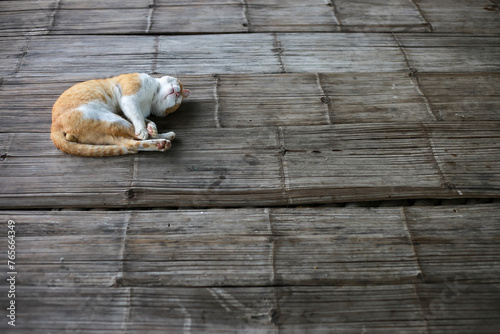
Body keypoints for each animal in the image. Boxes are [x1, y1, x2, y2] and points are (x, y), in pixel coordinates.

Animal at [50, 73, 190, 157]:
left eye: (176, 102)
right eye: (178, 84)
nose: (177, 93)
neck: (151, 98)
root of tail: (54, 127)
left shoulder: (126, 111)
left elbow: (145, 119)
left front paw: (151, 127)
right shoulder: (129, 99)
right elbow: (138, 117)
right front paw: (145, 129)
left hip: (109, 129)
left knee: (132, 143)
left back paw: (162, 141)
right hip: (109, 119)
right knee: (135, 136)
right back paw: (161, 138)